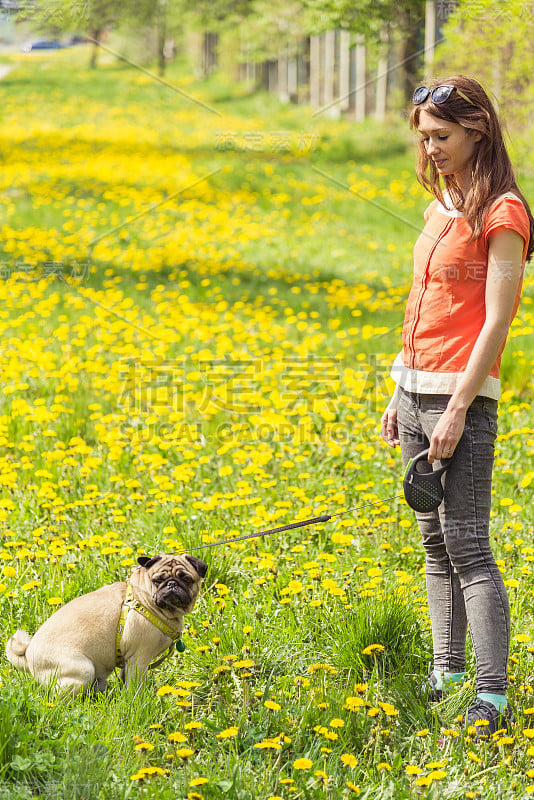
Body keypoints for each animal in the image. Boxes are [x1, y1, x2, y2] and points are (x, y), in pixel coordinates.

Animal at [5, 552, 206, 696]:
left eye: (186, 579)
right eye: (157, 580)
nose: (172, 584)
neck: (144, 598)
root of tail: (28, 655)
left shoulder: (128, 660)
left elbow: (125, 679)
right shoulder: (139, 659)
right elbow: (135, 687)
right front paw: (138, 701)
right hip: (83, 669)